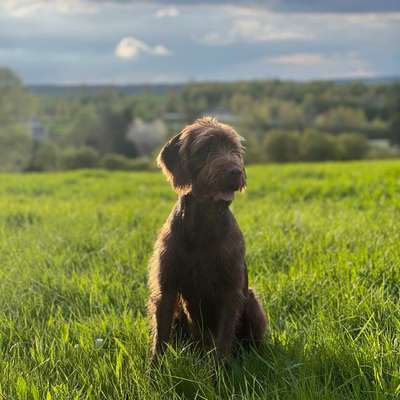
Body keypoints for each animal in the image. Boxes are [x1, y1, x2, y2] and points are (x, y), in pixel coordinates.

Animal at [147, 116, 266, 366]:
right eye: (206, 149)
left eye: (235, 150)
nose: (235, 172)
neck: (203, 226)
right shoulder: (166, 289)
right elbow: (160, 338)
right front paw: (154, 373)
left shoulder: (231, 291)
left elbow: (224, 340)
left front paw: (219, 373)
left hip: (251, 299)